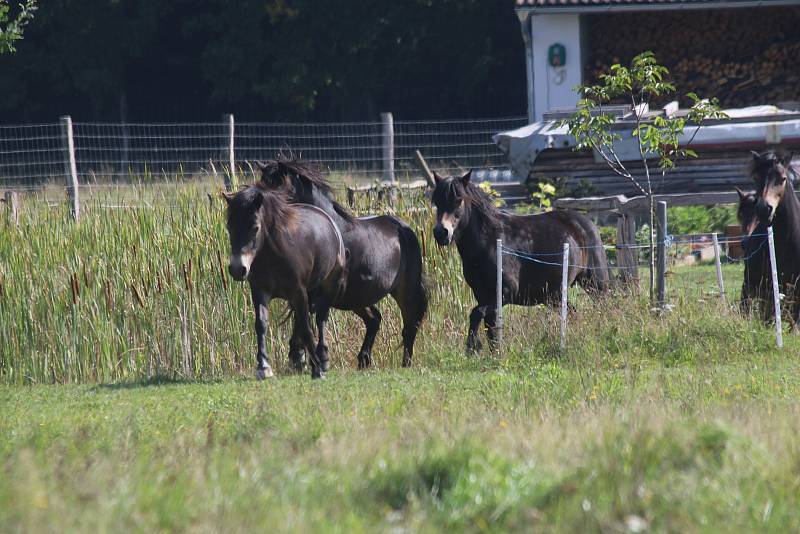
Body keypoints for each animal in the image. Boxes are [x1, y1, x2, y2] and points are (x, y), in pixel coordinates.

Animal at [225, 184, 350, 382]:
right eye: (229, 227)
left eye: (255, 227)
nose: (238, 269)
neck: (274, 254)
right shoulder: (260, 291)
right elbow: (261, 324)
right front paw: (263, 367)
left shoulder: (299, 292)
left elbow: (307, 327)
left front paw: (317, 370)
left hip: (328, 287)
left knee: (320, 319)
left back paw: (322, 359)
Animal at [260, 157, 428, 370]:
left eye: (275, 185)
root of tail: (404, 228)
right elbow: (301, 324)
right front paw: (299, 361)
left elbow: (303, 326)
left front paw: (303, 360)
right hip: (357, 297)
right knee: (375, 319)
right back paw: (363, 360)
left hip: (404, 290)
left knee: (409, 325)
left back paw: (405, 363)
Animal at [432, 172, 612, 354]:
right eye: (436, 201)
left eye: (459, 200)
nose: (441, 232)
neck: (490, 241)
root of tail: (588, 224)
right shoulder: (482, 295)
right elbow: (490, 326)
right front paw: (493, 353)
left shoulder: (506, 292)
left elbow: (476, 314)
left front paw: (472, 348)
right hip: (554, 296)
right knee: (572, 313)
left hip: (595, 284)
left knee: (603, 307)